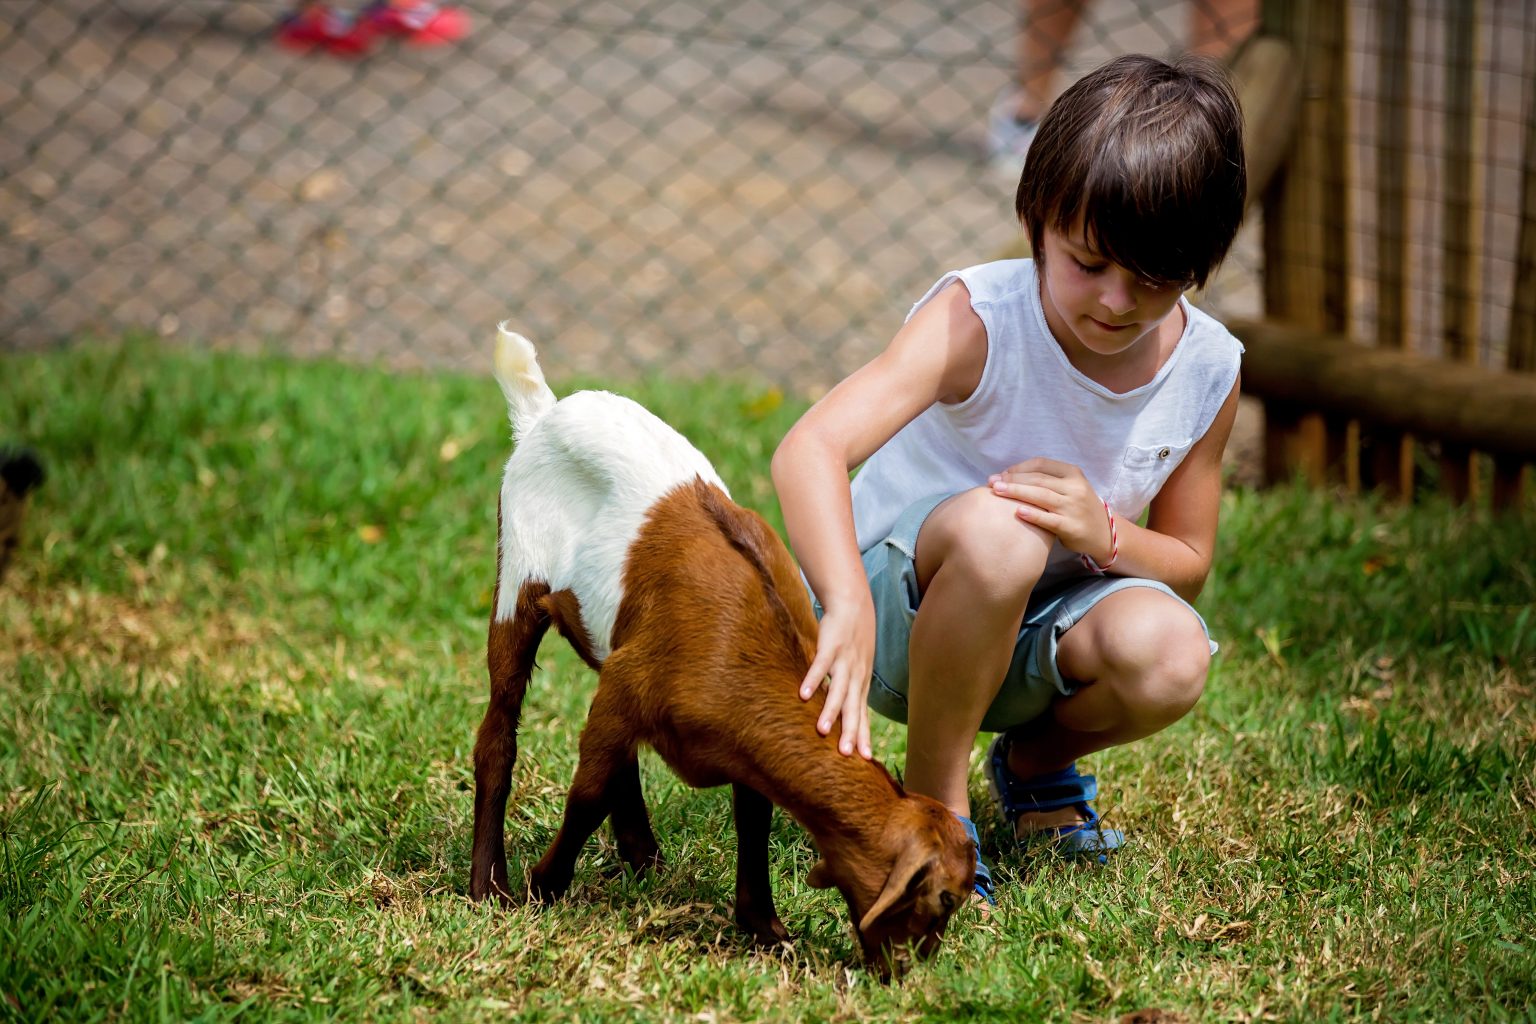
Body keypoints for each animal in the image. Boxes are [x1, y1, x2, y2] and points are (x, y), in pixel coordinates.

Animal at [466, 323, 970, 976]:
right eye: (941, 900)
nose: (910, 971)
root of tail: (542, 414)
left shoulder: (719, 730)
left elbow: (751, 817)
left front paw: (765, 929)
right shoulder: (629, 688)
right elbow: (586, 795)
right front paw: (542, 889)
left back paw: (643, 859)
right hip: (518, 573)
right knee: (498, 729)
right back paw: (488, 885)